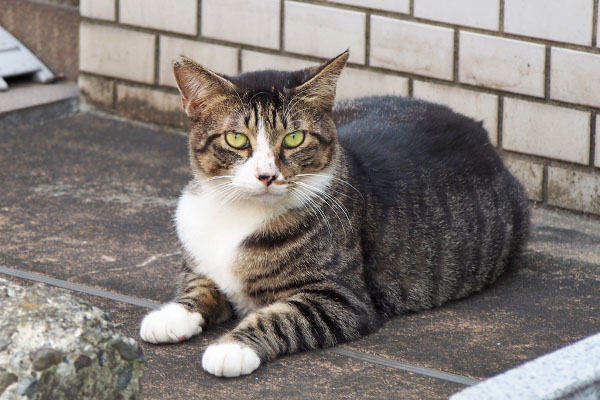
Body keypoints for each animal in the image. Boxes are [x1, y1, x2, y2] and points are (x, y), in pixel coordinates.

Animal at [138, 51, 528, 376]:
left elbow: (280, 318)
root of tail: (477, 126)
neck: (240, 212)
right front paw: (171, 315)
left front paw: (232, 348)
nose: (267, 175)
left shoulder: (341, 298)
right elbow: (198, 285)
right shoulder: (200, 257)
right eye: (236, 139)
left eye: (294, 138)